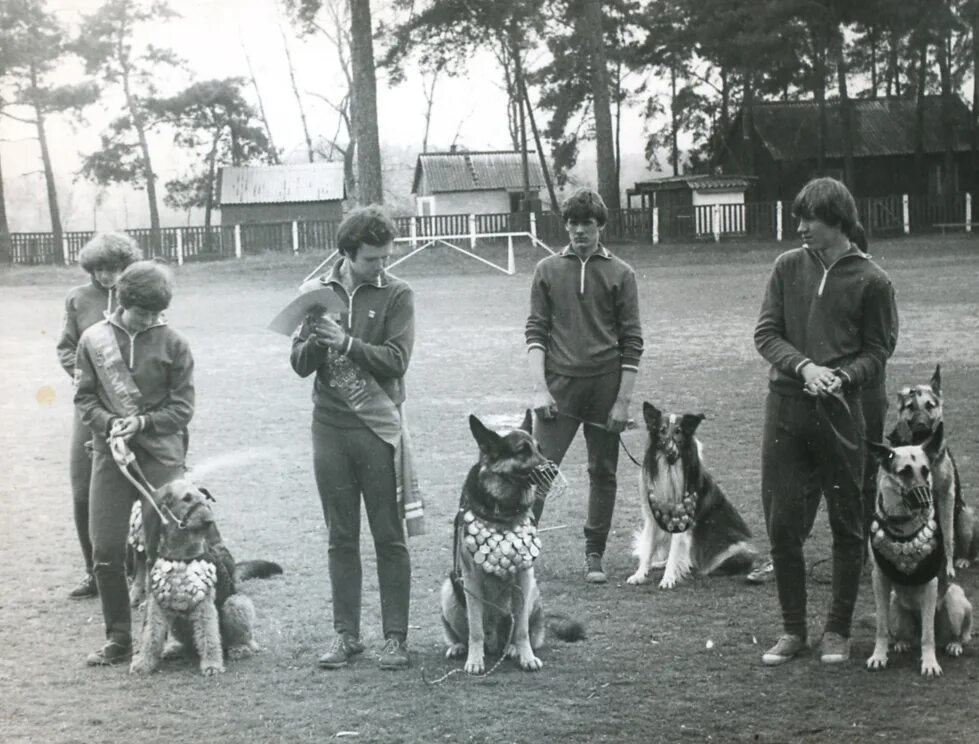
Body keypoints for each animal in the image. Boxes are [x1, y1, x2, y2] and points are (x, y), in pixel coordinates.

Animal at [128, 480, 282, 676]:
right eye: (186, 498)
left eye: (204, 500)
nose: (209, 521)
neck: (179, 554)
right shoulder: (157, 604)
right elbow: (151, 635)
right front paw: (143, 663)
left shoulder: (204, 605)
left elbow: (209, 636)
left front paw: (212, 665)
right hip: (176, 619)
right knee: (190, 644)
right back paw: (174, 649)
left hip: (236, 603)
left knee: (243, 640)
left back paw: (239, 649)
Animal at [442, 412, 580, 676]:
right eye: (521, 451)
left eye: (539, 448)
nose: (553, 469)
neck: (502, 510)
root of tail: (495, 644)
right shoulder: (471, 581)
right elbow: (475, 629)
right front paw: (475, 660)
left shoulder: (524, 576)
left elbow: (523, 629)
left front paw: (527, 656)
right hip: (449, 590)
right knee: (463, 633)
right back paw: (459, 647)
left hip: (532, 589)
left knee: (523, 629)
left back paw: (514, 648)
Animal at [628, 404, 756, 588]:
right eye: (662, 430)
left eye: (679, 431)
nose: (668, 448)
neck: (670, 469)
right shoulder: (653, 519)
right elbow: (648, 550)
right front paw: (639, 575)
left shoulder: (682, 520)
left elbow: (674, 553)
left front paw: (668, 578)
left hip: (735, 547)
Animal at [868, 422, 968, 676]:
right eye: (904, 472)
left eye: (925, 470)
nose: (926, 502)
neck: (903, 529)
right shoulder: (879, 579)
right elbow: (881, 627)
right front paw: (879, 656)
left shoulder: (930, 583)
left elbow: (928, 635)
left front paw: (930, 663)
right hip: (896, 604)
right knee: (903, 634)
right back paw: (902, 642)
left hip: (955, 599)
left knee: (956, 634)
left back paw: (954, 645)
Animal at [892, 364, 976, 572]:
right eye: (910, 407)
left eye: (929, 406)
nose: (922, 427)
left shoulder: (945, 496)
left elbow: (947, 536)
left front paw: (948, 567)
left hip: (965, 515)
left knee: (960, 543)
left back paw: (962, 559)